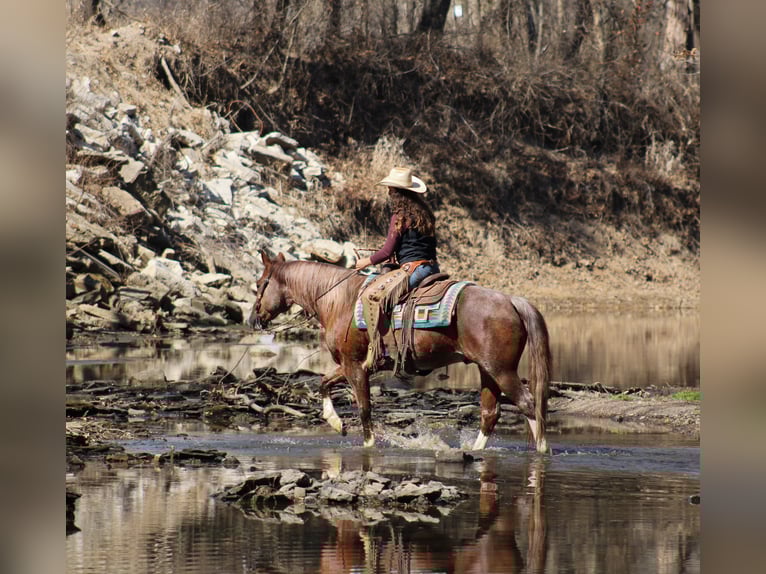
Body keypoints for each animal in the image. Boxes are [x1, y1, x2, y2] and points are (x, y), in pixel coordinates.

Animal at [248, 251, 552, 453]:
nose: (253, 319)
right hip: (486, 370)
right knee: (490, 413)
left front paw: (367, 443)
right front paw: (336, 424)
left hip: (502, 370)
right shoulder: (350, 365)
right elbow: (323, 383)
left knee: (529, 404)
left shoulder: (355, 367)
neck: (340, 301)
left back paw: (542, 450)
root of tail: (511, 301)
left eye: (260, 284)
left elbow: (364, 408)